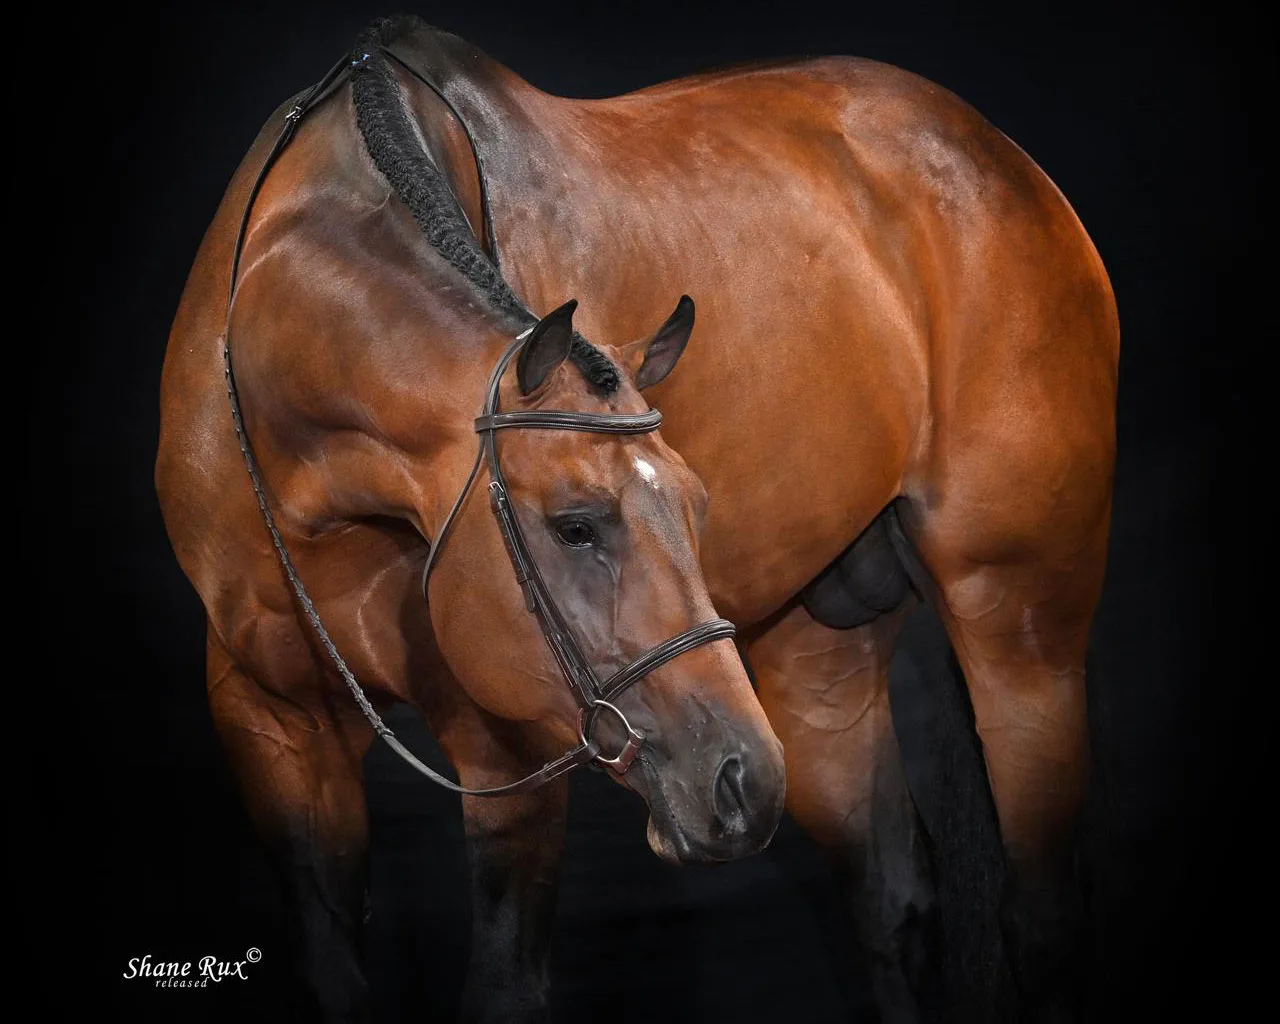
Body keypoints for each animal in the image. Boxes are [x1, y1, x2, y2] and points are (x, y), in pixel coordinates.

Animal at [157, 15, 1118, 1023]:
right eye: (575, 525)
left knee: (1039, 912)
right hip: (816, 662)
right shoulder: (273, 725)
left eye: (695, 507)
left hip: (1021, 631)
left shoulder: (506, 749)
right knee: (892, 896)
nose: (741, 781)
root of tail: (994, 154)